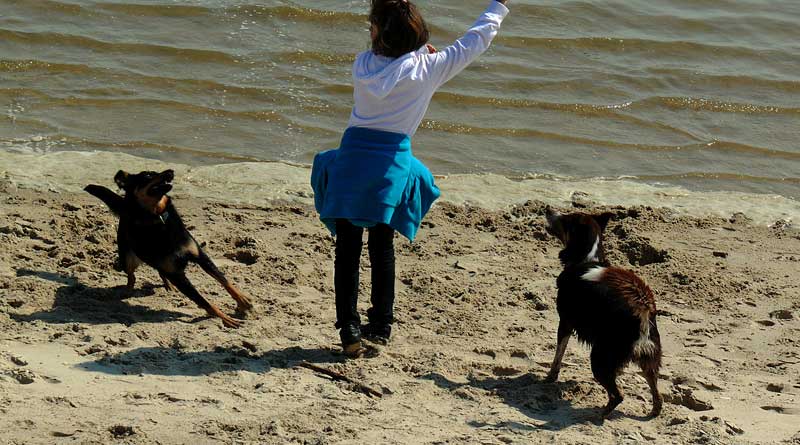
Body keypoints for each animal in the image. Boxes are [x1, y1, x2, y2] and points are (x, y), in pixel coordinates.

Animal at [86, 169, 252, 326]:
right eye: (147, 175)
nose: (171, 171)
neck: (157, 217)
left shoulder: (199, 255)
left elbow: (223, 280)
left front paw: (243, 301)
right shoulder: (178, 275)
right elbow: (203, 300)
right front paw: (225, 318)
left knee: (159, 272)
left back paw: (168, 285)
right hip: (127, 258)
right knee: (132, 276)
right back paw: (128, 290)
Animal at [544, 206, 664, 418]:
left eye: (566, 219)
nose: (548, 208)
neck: (586, 258)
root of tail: (642, 310)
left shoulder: (565, 322)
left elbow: (558, 353)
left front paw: (550, 377)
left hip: (600, 357)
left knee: (618, 395)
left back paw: (599, 414)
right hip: (650, 359)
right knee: (657, 394)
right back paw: (652, 411)